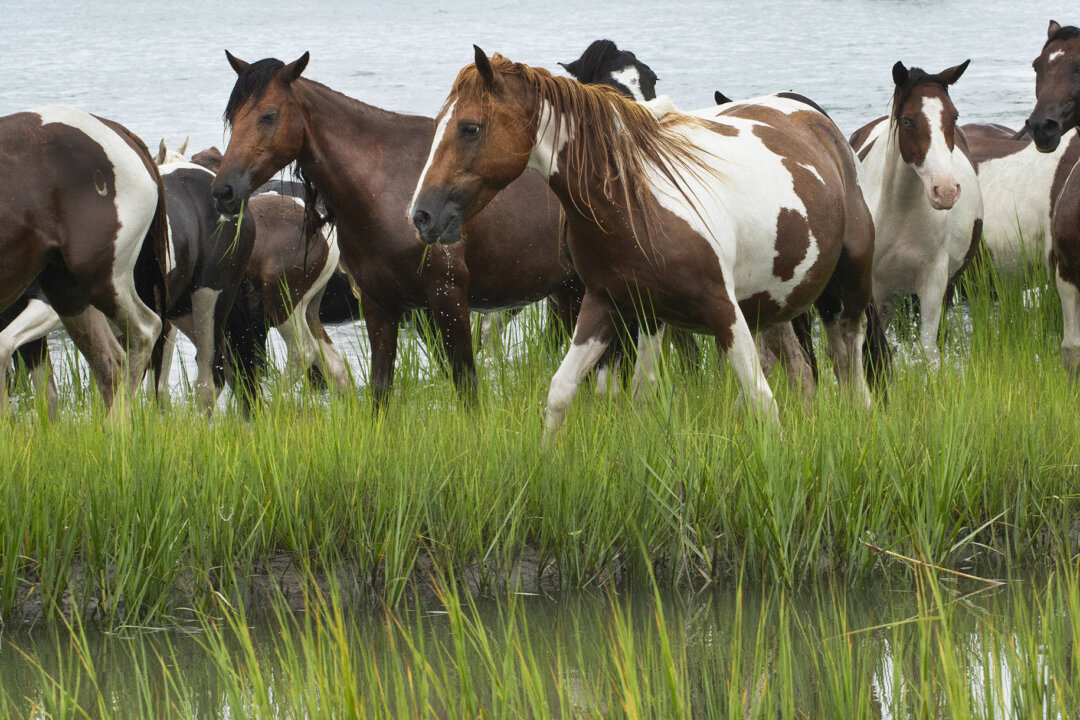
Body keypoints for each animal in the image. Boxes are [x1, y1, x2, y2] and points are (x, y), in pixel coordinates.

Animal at [0, 106, 166, 418]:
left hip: (102, 279)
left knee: (145, 331)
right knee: (109, 361)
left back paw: (116, 425)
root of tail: (116, 129)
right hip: (67, 291)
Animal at [210, 51, 582, 407]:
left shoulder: (447, 301)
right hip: (567, 292)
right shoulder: (379, 304)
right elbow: (380, 390)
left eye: (268, 115)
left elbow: (465, 385)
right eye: (233, 117)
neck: (387, 187)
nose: (224, 191)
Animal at [410, 48, 876, 437]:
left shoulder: (723, 311)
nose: (421, 215)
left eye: (470, 128)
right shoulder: (607, 304)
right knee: (803, 373)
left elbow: (762, 403)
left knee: (851, 365)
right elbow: (565, 392)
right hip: (773, 304)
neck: (635, 200)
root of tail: (817, 121)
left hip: (846, 290)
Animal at [849, 61, 984, 365]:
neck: (901, 212)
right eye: (908, 121)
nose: (945, 190)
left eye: (954, 117)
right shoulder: (875, 290)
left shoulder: (934, 282)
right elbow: (879, 349)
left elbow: (929, 349)